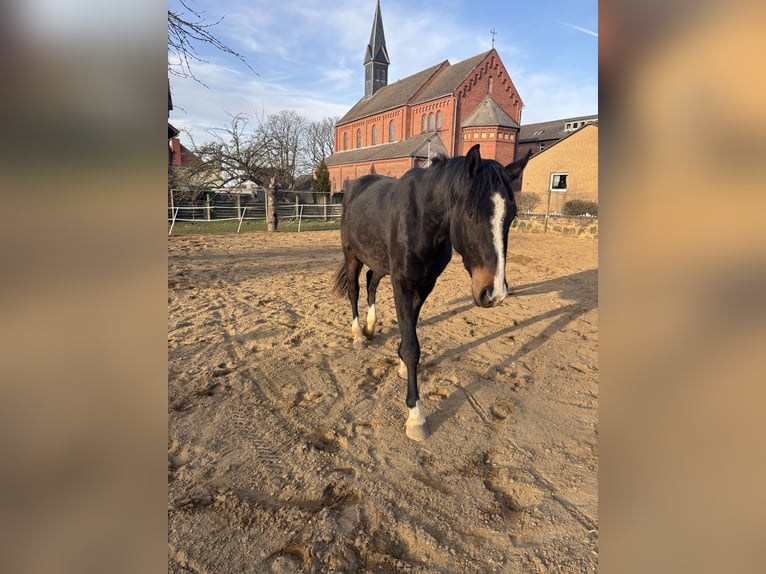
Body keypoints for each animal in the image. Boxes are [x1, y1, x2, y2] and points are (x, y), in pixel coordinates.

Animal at [332, 144, 532, 440]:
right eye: (470, 213)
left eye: (512, 216)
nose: (494, 292)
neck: (422, 220)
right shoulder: (402, 283)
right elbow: (412, 345)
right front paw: (415, 416)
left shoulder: (425, 284)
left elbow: (411, 332)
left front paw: (401, 363)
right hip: (351, 255)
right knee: (355, 290)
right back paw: (358, 335)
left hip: (378, 260)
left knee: (371, 281)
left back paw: (369, 327)